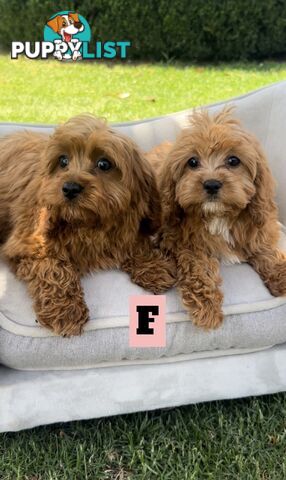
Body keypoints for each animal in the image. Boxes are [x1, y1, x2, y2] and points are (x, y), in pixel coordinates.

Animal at [0, 114, 175, 336]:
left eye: (104, 164)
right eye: (63, 161)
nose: (70, 188)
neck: (86, 224)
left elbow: (134, 242)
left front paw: (153, 266)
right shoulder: (27, 242)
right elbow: (52, 268)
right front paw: (66, 310)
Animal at [147, 107, 286, 328]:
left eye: (233, 161)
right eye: (192, 162)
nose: (211, 184)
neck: (218, 215)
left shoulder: (258, 225)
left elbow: (263, 247)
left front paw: (280, 273)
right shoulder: (182, 241)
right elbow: (197, 266)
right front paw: (207, 306)